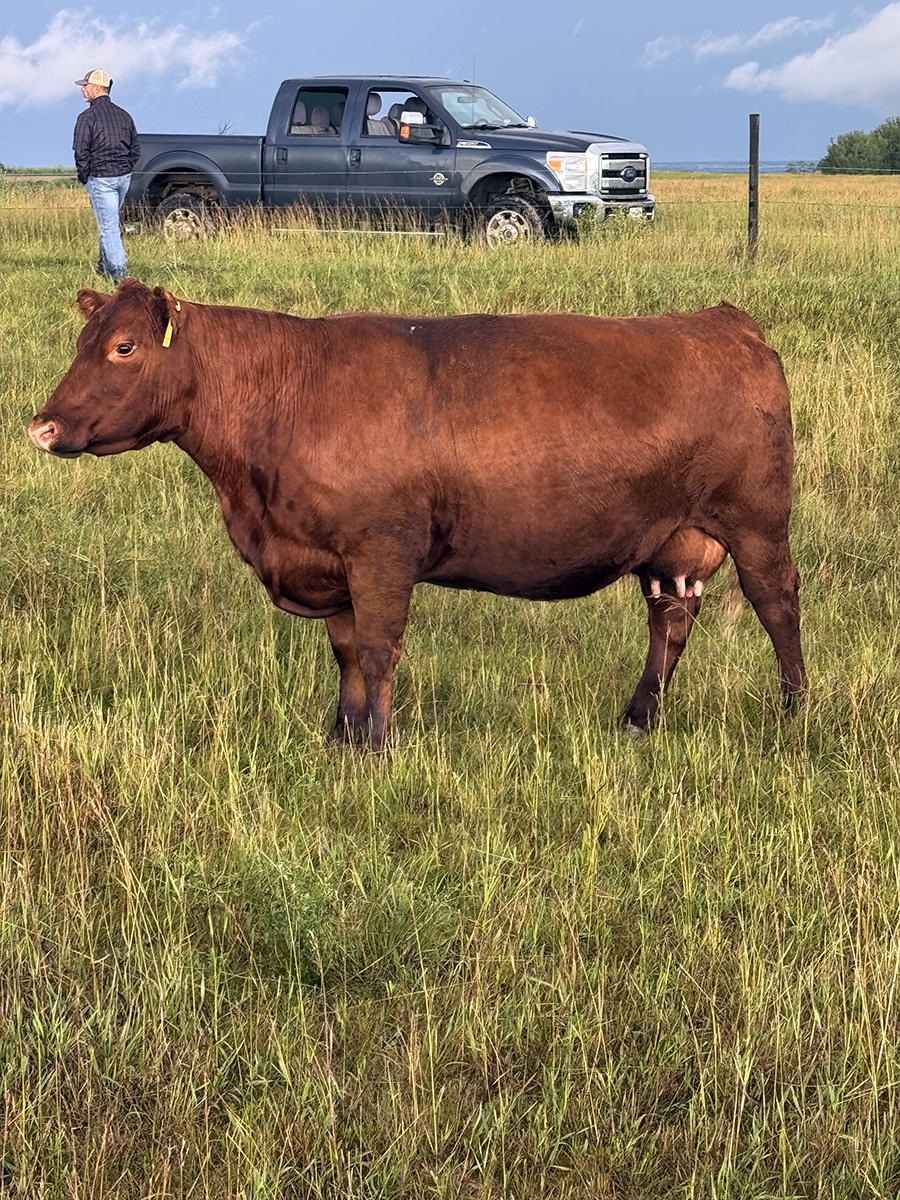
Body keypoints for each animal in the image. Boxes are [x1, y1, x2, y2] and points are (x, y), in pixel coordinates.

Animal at [29, 280, 805, 749]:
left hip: (757, 521)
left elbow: (378, 648)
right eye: (81, 342)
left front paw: (377, 745)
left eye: (123, 346)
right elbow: (345, 651)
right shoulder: (328, 560)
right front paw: (341, 737)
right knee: (669, 621)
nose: (41, 426)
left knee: (776, 603)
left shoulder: (381, 550)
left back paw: (794, 710)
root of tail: (724, 322)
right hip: (671, 541)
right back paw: (638, 719)